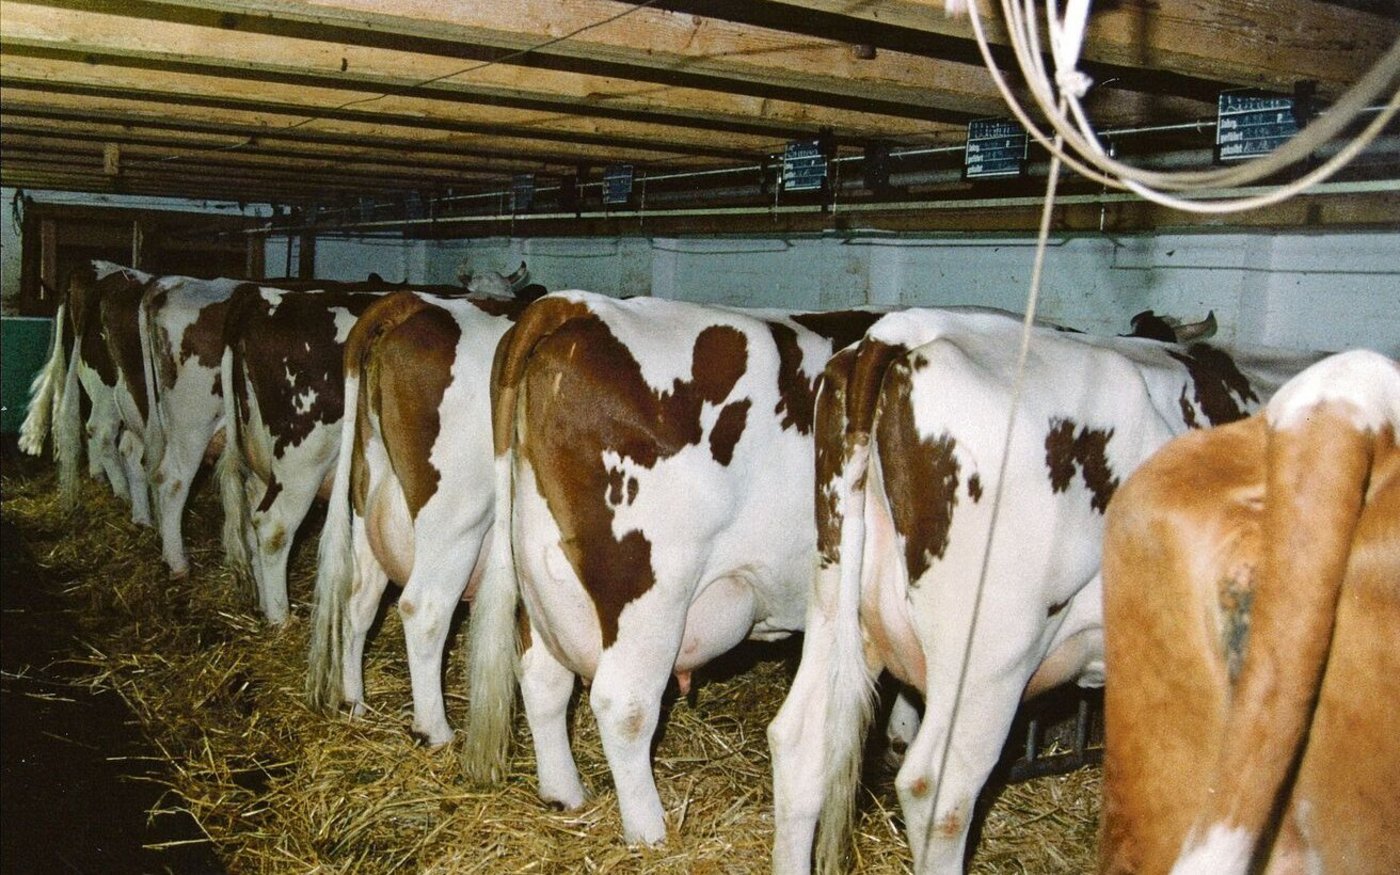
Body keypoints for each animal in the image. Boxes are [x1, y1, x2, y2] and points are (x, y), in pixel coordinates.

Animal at [305, 290, 529, 746]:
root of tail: (413, 303)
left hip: (367, 495)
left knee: (360, 595)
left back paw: (353, 699)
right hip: (456, 518)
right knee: (424, 607)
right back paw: (435, 729)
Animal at [462, 291, 883, 846]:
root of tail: (577, 304)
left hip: (543, 572)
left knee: (543, 678)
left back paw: (565, 795)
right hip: (647, 587)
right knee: (624, 704)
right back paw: (650, 832)